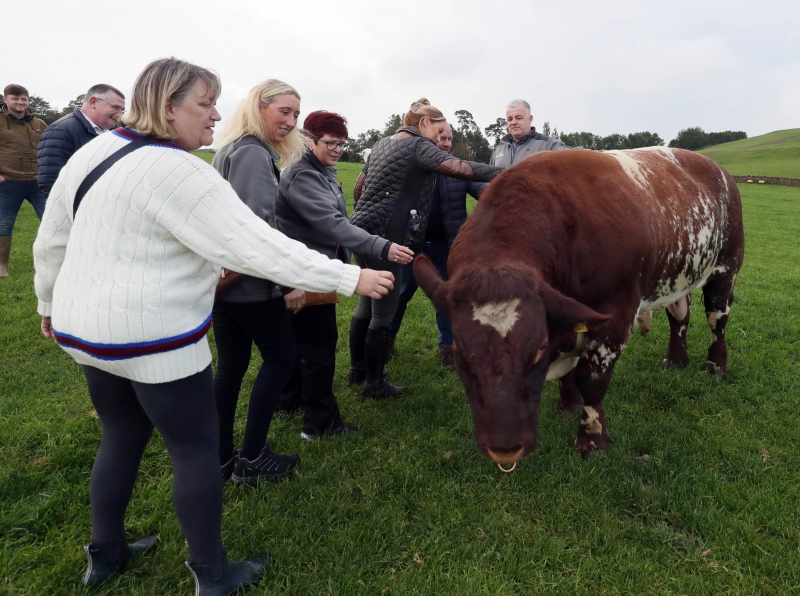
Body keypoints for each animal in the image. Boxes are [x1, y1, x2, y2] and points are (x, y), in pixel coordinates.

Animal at [412, 148, 744, 466]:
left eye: (537, 351)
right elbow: (569, 373)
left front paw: (591, 440)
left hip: (725, 268)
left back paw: (715, 366)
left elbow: (591, 380)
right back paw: (675, 360)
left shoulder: (614, 313)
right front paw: (568, 404)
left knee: (717, 319)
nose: (505, 449)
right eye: (462, 355)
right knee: (679, 316)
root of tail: (719, 170)